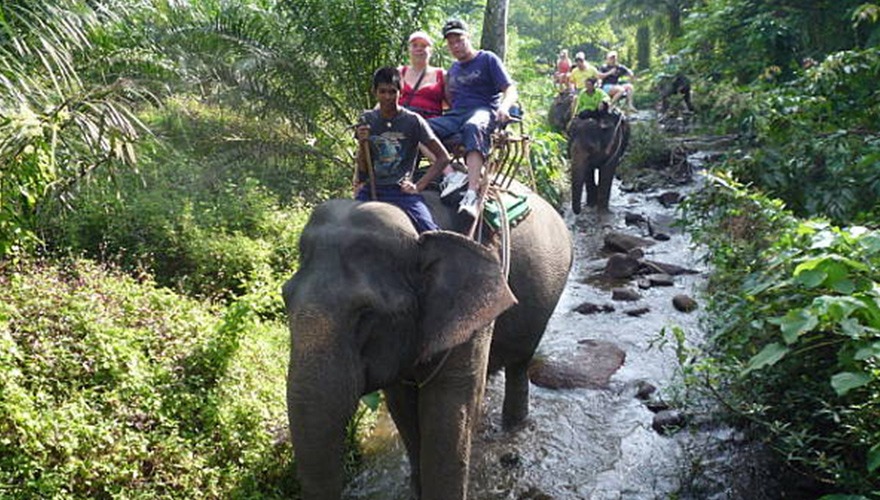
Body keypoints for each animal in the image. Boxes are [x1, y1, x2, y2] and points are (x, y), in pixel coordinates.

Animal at [282, 185, 572, 500]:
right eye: (285, 296)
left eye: (366, 312)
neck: (419, 235)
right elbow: (403, 407)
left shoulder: (473, 312)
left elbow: (448, 410)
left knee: (519, 364)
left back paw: (513, 426)